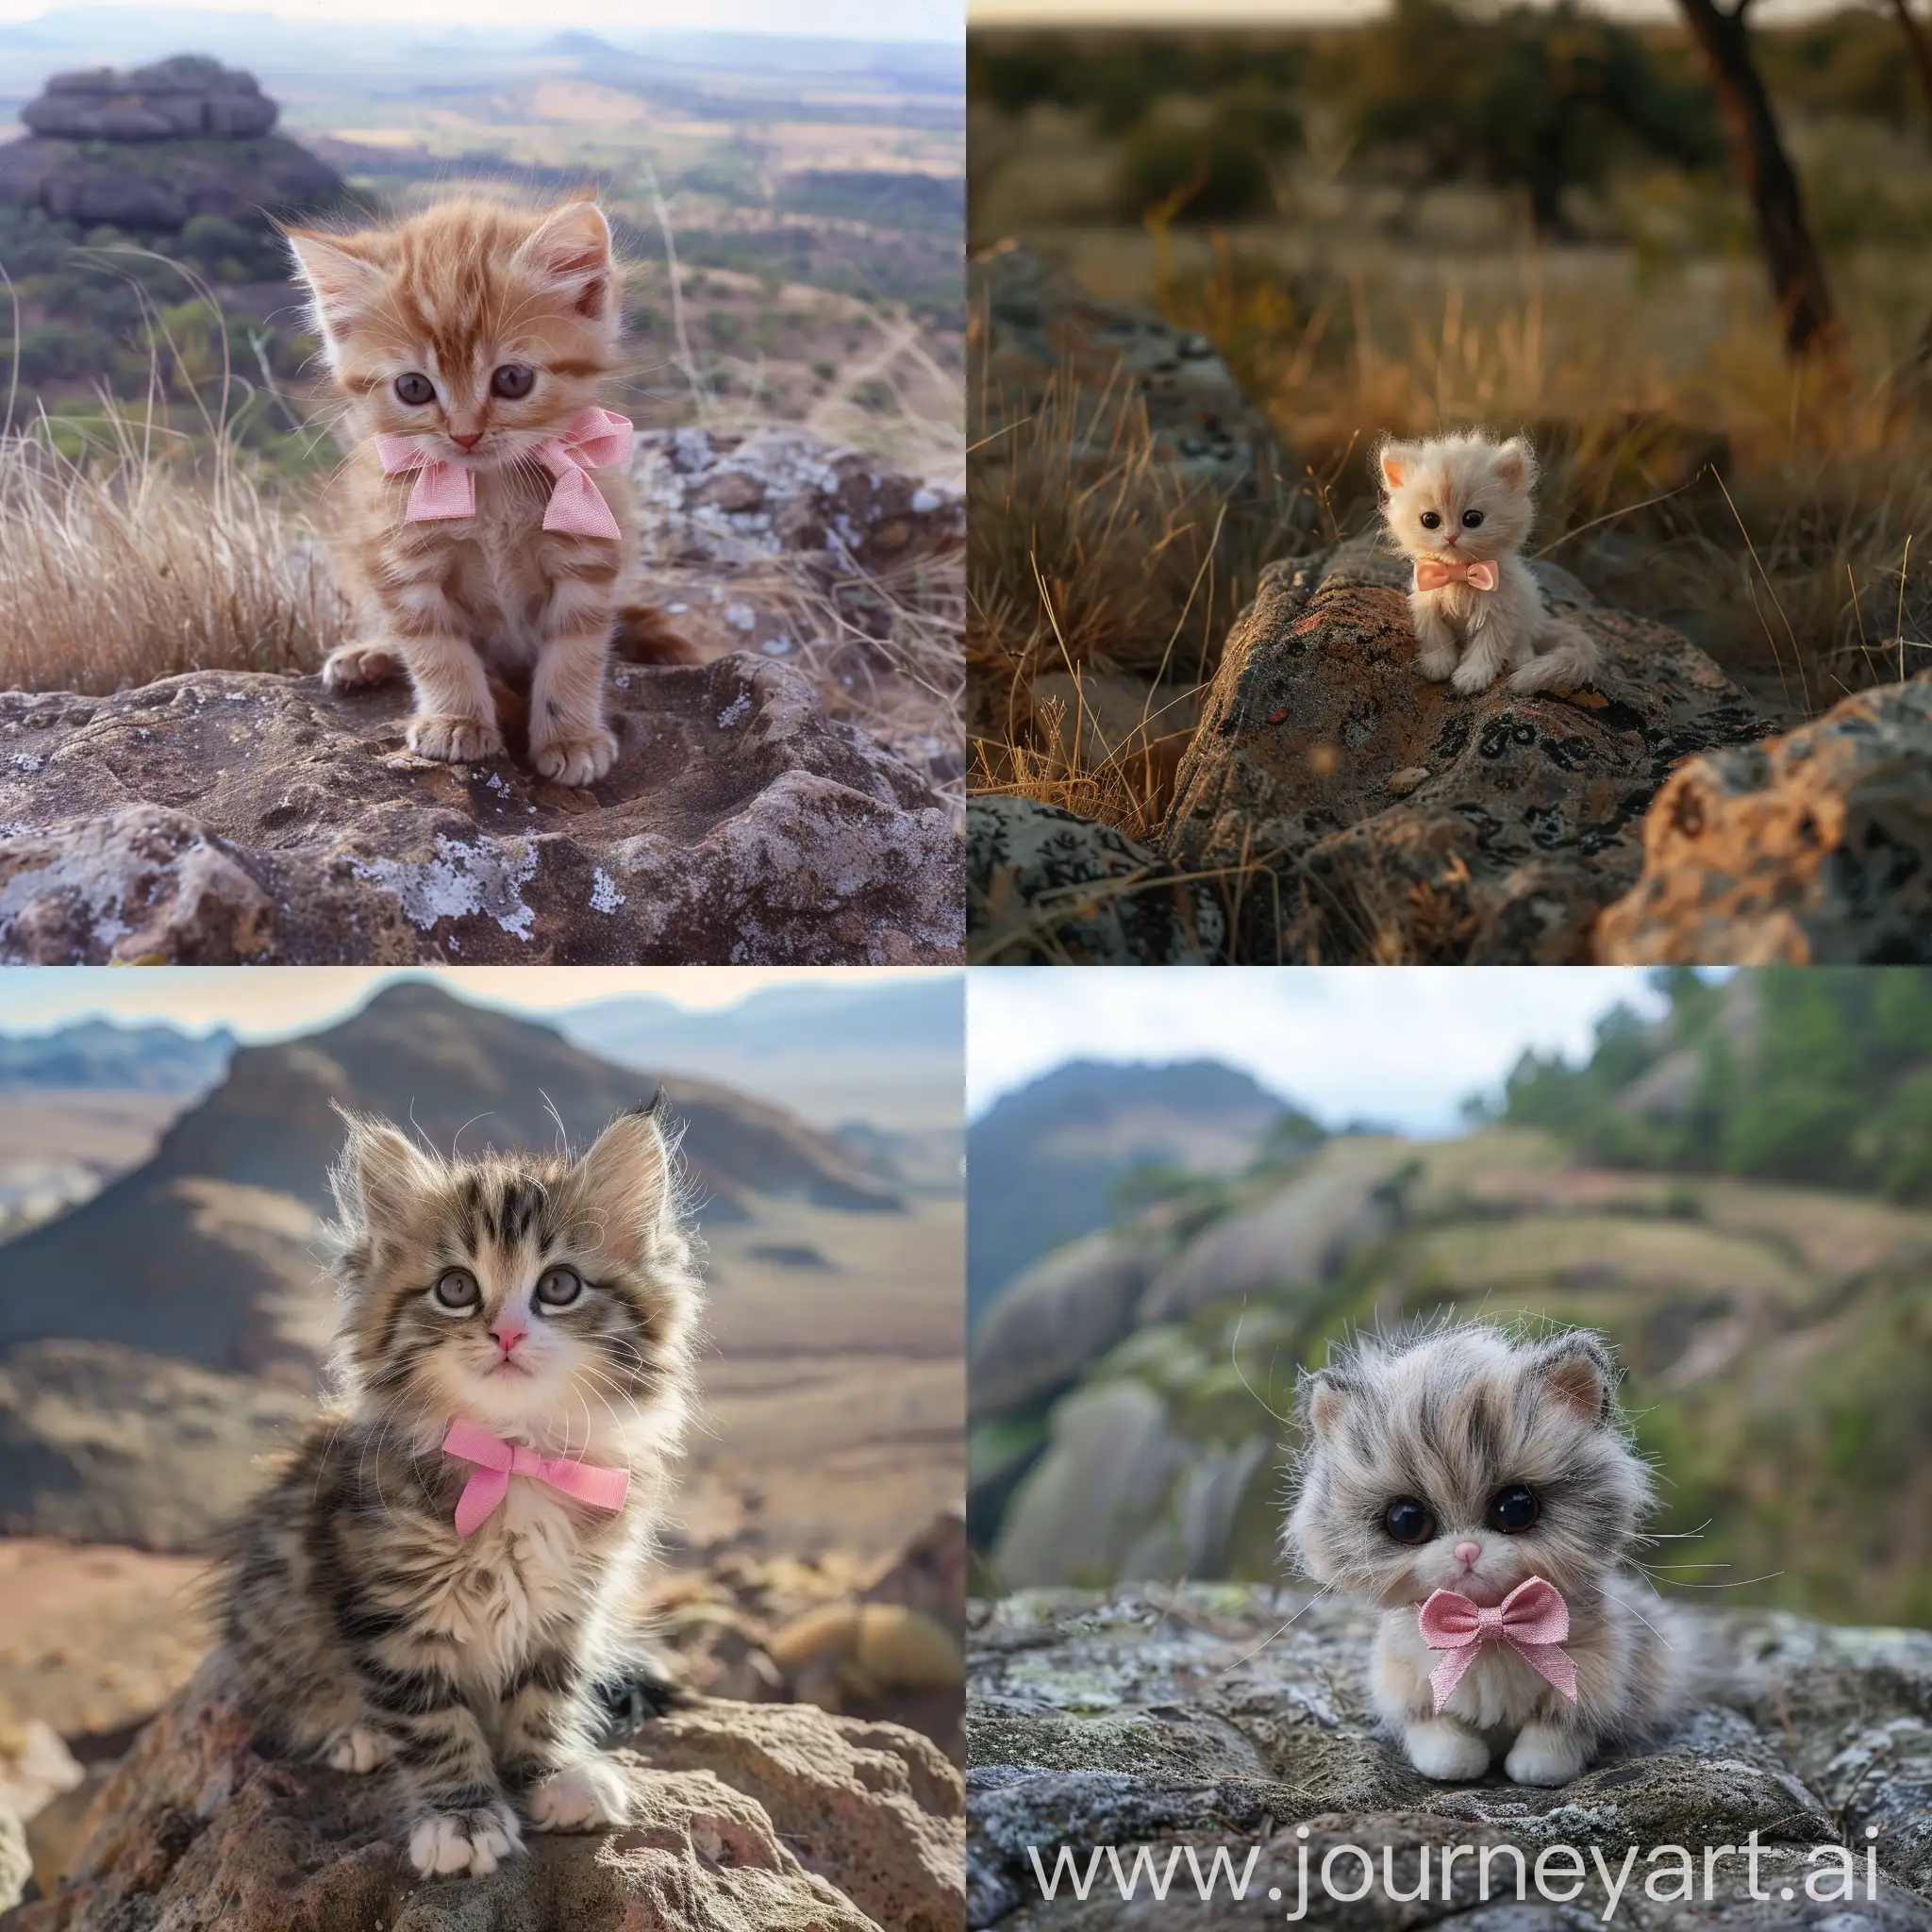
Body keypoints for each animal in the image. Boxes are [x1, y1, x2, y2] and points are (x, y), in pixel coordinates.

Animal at [221, 1112, 703, 1877]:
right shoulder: (391, 1615)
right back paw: (357, 1735)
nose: (504, 1333)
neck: (511, 1455)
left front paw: (551, 1774)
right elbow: (433, 1722)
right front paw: (462, 1818)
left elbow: (545, 1699)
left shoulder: (569, 1612)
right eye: (455, 1289)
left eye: (559, 1285)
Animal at [286, 199, 679, 788]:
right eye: (413, 388)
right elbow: (434, 648)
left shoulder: (588, 556)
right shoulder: (402, 558)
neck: (488, 491)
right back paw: (370, 653)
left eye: (512, 379)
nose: (465, 434)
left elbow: (575, 654)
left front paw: (570, 736)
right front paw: (457, 719)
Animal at [1282, 1321, 1676, 1785]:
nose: (1467, 1550)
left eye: (1516, 1508)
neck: (1487, 1626)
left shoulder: (1597, 1665)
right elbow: (1434, 1728)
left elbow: (1558, 1725)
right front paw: (1454, 1763)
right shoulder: (1402, 1677)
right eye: (1406, 1521)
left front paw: (1537, 1767)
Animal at [1375, 430, 1599, 695]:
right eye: (1430, 520)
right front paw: (1438, 665)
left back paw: (1520, 659)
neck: (1460, 573)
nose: (1450, 537)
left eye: (1472, 519)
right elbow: (1436, 637)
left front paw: (1471, 677)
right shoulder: (1427, 602)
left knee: (1523, 642)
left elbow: (1487, 647)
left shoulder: (1499, 612)